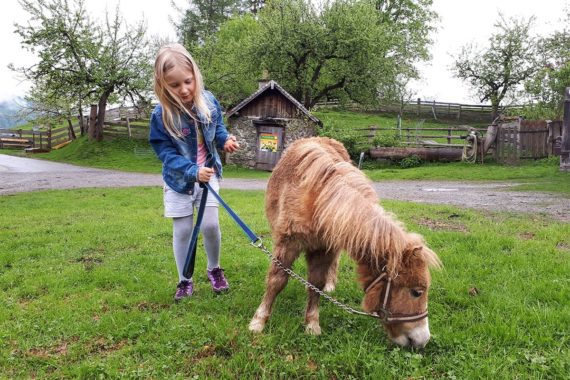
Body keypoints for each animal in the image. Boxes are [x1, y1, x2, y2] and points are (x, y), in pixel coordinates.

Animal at [247, 136, 440, 348]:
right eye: (417, 292)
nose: (423, 340)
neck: (318, 199)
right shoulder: (287, 244)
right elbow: (277, 281)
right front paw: (258, 322)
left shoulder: (324, 248)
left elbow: (316, 283)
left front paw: (312, 325)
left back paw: (330, 285)